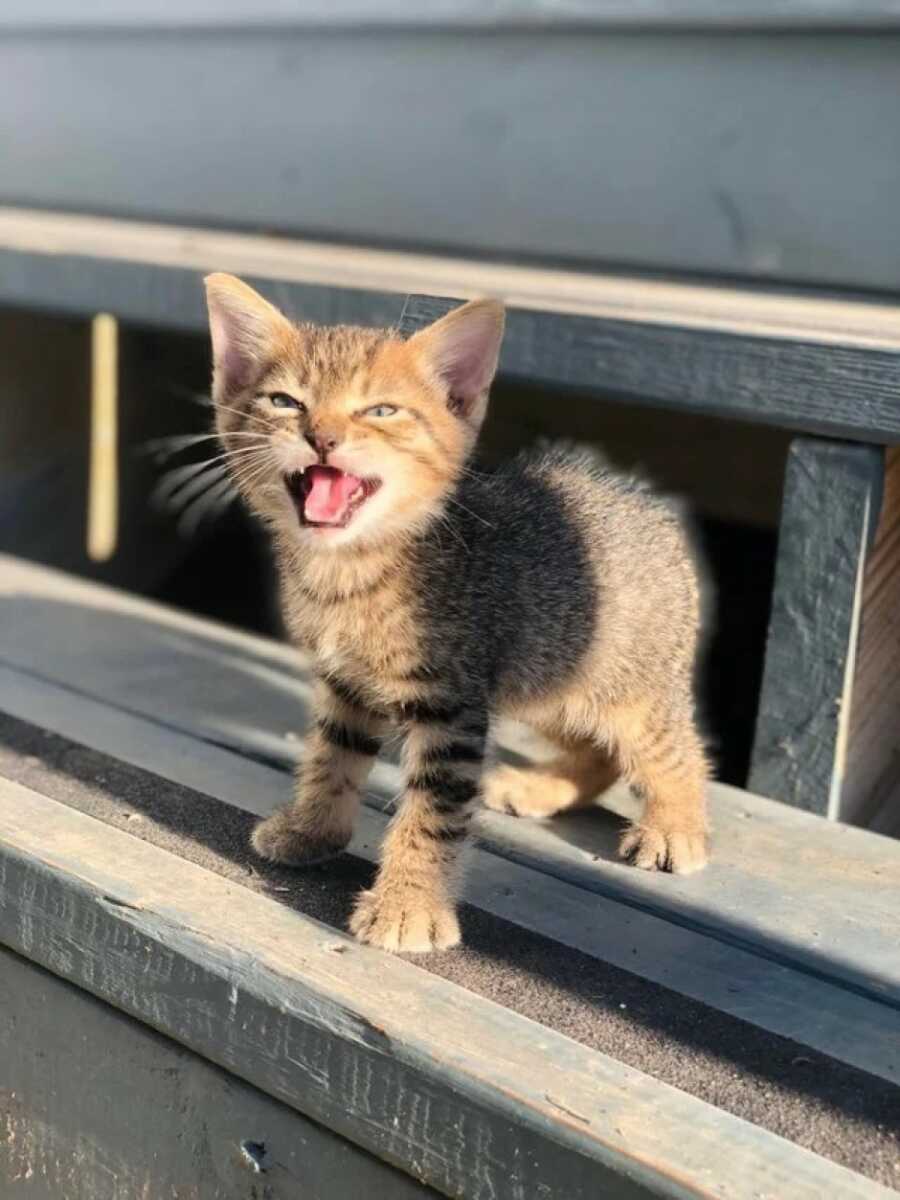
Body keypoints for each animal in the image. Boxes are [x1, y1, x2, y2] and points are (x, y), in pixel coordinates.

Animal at [204, 274, 710, 955]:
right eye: (285, 401)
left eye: (381, 411)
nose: (323, 437)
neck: (352, 572)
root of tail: (648, 507)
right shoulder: (345, 682)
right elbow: (331, 758)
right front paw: (313, 830)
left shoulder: (450, 702)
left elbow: (432, 813)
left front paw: (408, 906)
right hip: (550, 672)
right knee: (601, 752)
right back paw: (540, 786)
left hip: (620, 681)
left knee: (672, 747)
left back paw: (676, 824)